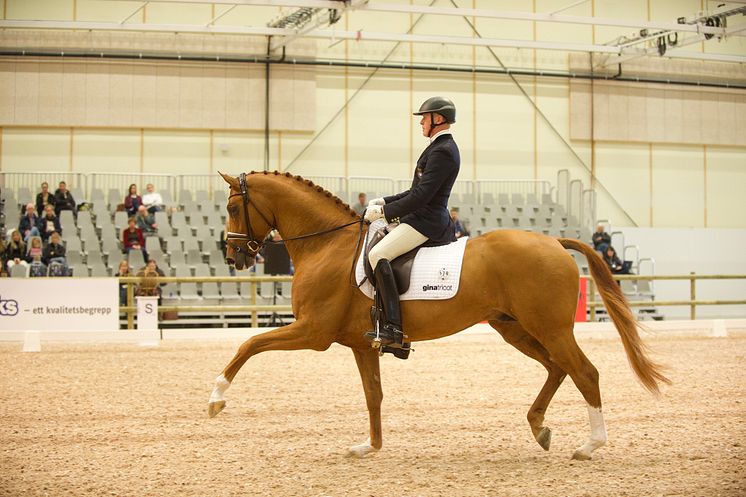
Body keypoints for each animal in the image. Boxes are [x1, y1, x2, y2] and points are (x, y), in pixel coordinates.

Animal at [209, 170, 668, 458]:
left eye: (232, 208)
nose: (233, 257)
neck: (328, 247)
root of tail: (554, 241)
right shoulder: (360, 344)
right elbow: (373, 394)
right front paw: (370, 446)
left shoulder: (313, 332)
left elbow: (249, 343)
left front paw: (216, 398)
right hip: (514, 328)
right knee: (558, 368)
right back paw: (539, 427)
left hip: (550, 327)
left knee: (584, 372)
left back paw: (590, 446)